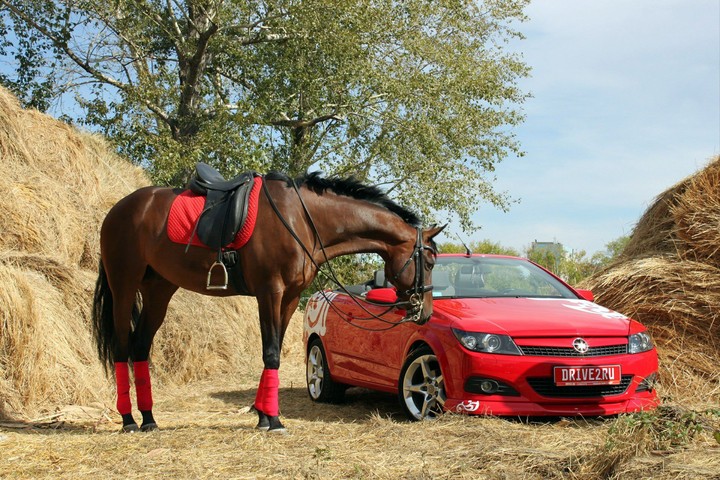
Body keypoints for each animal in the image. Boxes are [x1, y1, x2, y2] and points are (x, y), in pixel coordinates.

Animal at [92, 168, 445, 433]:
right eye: (429, 262)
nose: (425, 313)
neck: (303, 219)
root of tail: (118, 209)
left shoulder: (288, 298)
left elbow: (271, 353)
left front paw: (263, 416)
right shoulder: (270, 292)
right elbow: (271, 352)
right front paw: (273, 420)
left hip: (159, 290)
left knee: (140, 347)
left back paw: (149, 419)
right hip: (124, 286)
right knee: (122, 347)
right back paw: (128, 420)